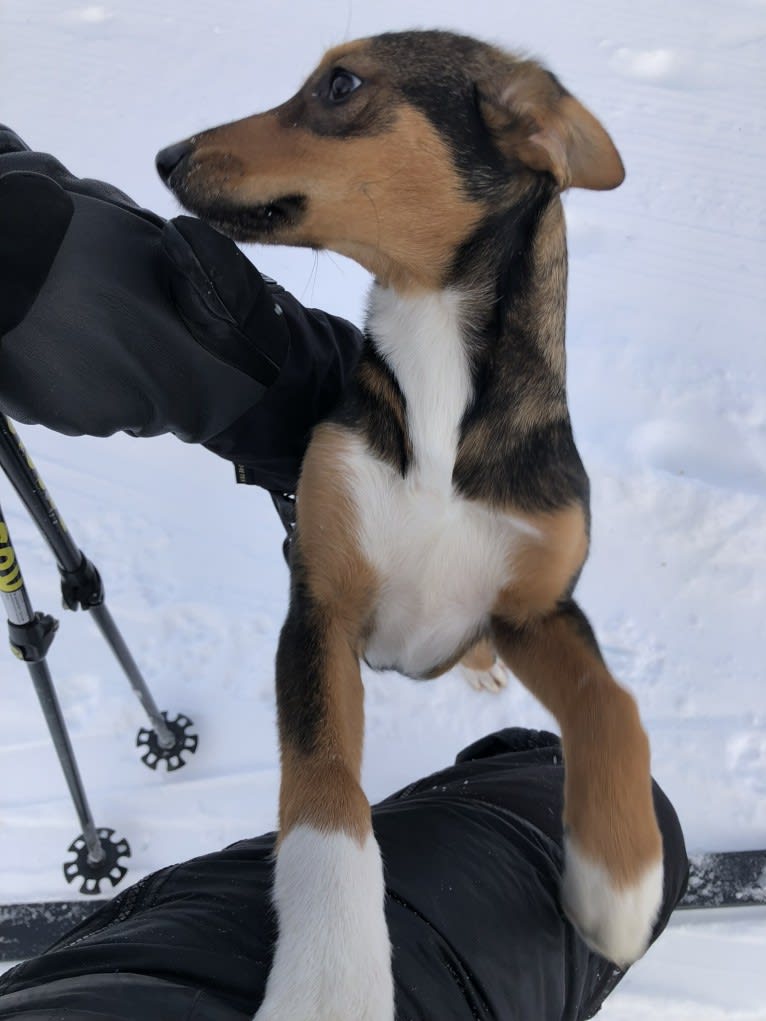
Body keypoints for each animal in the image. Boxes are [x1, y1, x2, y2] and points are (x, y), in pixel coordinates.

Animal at [157, 29, 665, 1021]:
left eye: (342, 83)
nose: (166, 156)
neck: (434, 372)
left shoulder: (535, 604)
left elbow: (612, 700)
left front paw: (620, 884)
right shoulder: (320, 599)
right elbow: (326, 792)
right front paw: (330, 980)